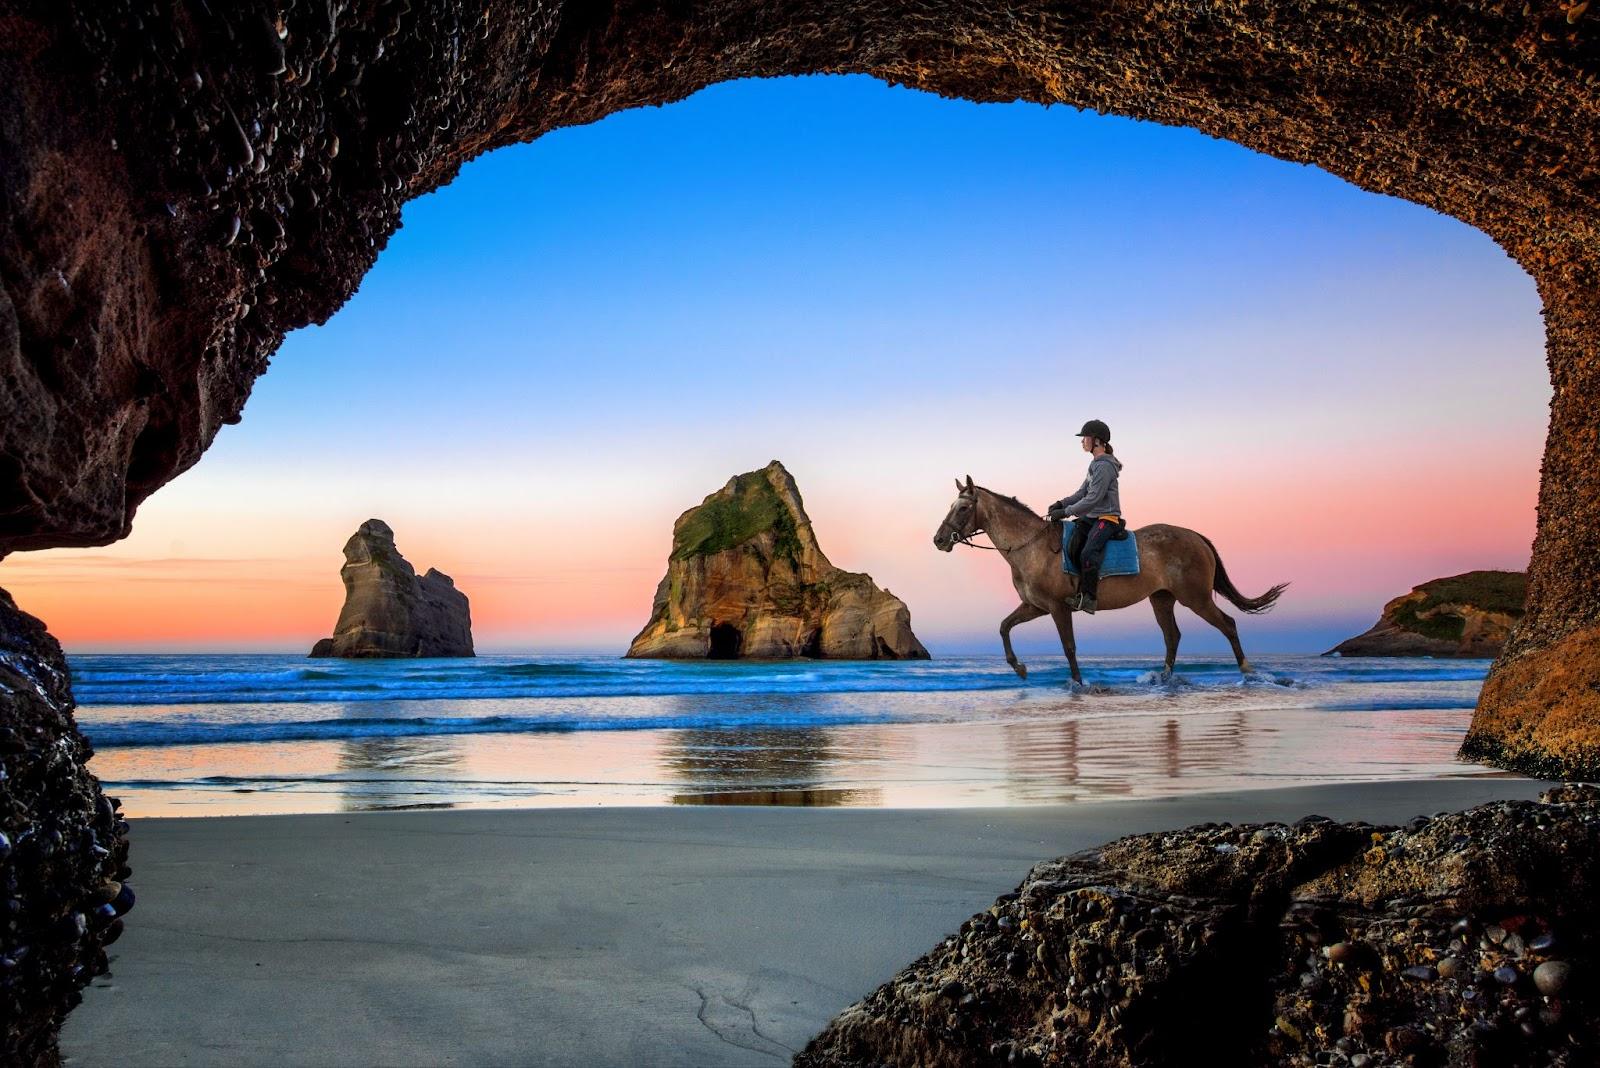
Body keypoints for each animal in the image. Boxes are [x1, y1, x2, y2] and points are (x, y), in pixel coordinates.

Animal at [934, 476, 1286, 684]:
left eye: (962, 508)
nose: (938, 540)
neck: (1030, 546)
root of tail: (1196, 537)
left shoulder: (1057, 608)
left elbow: (1069, 647)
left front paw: (1078, 684)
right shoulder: (1035, 606)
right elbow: (1004, 626)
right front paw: (1019, 668)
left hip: (1195, 598)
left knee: (1227, 625)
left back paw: (1246, 671)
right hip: (1162, 598)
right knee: (1172, 636)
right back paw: (1164, 679)